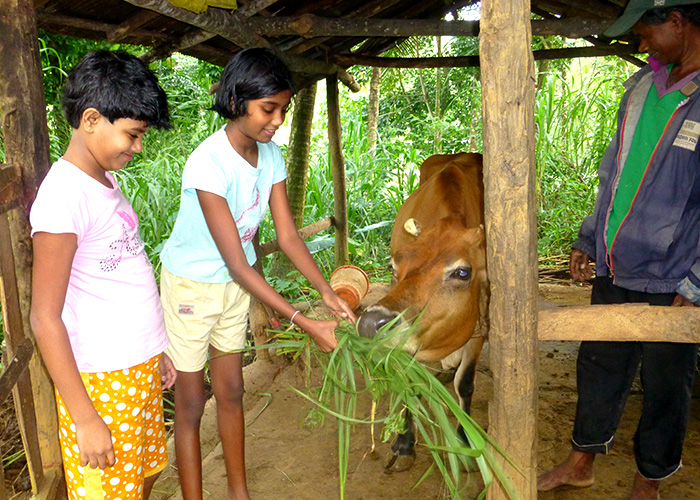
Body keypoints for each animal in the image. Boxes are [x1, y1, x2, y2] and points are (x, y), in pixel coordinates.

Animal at [356, 152, 486, 472]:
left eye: (462, 272)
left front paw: (464, 443)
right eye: (393, 266)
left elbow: (465, 384)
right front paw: (404, 443)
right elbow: (409, 383)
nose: (370, 323)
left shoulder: (479, 325)